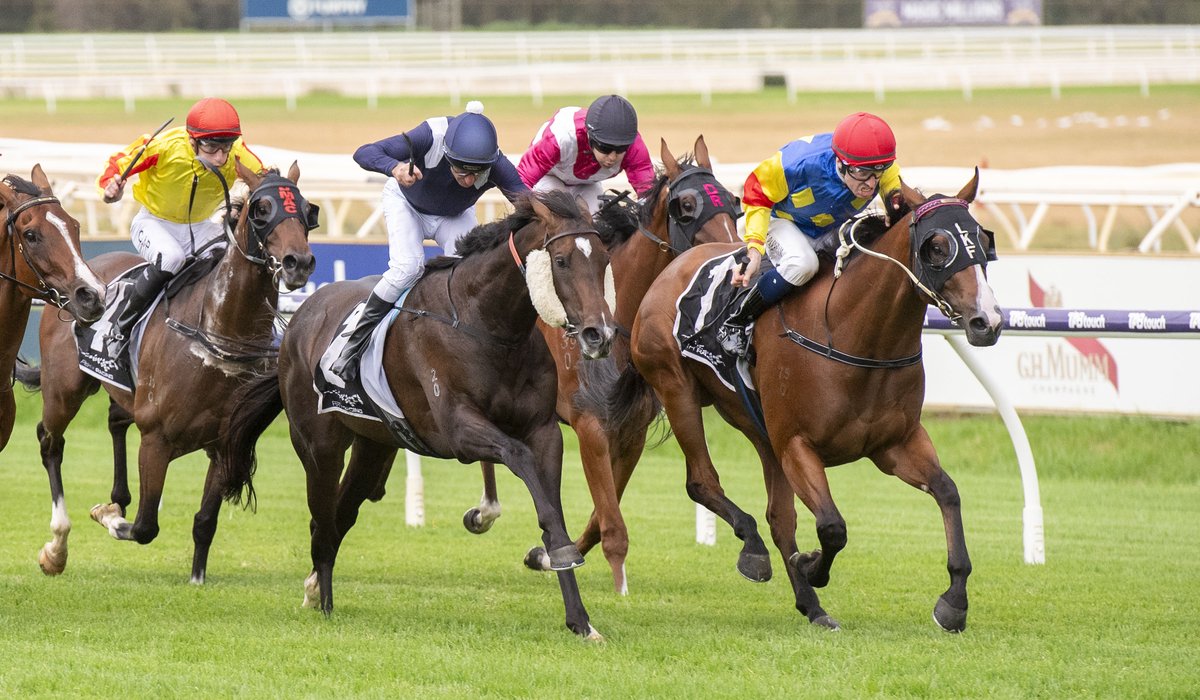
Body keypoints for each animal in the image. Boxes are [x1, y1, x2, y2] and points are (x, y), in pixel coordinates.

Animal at [25, 163, 316, 581]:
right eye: (262, 210)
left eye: (308, 210)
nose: (299, 262)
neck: (215, 335)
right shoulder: (156, 440)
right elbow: (145, 526)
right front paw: (108, 516)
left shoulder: (224, 443)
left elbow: (204, 521)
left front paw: (197, 578)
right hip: (64, 389)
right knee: (50, 441)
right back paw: (56, 548)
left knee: (115, 420)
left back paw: (118, 496)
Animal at [220, 192, 619, 638]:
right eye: (562, 260)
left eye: (604, 258)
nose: (600, 335)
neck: (489, 325)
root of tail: (298, 320)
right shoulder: (458, 430)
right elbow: (519, 457)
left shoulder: (544, 431)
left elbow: (551, 509)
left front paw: (580, 618)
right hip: (318, 446)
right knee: (321, 517)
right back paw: (323, 601)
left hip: (373, 446)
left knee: (341, 513)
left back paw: (314, 589)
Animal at [628, 172, 1003, 633]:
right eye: (937, 246)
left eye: (983, 240)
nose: (987, 321)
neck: (854, 334)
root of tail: (671, 269)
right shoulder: (797, 445)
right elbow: (832, 526)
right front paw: (809, 565)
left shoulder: (894, 445)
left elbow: (948, 492)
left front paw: (954, 601)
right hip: (676, 388)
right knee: (703, 482)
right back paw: (755, 552)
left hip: (761, 432)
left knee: (779, 518)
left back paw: (811, 606)